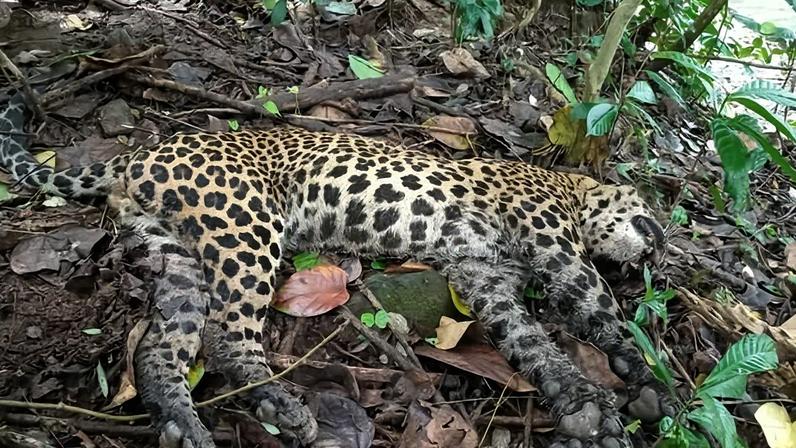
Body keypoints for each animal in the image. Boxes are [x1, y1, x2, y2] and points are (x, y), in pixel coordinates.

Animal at [0, 91, 670, 448]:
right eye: (652, 215)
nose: (663, 250)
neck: (572, 190)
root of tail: (139, 151)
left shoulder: (482, 275)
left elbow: (531, 341)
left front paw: (581, 403)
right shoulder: (552, 241)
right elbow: (600, 306)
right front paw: (649, 381)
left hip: (175, 253)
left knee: (162, 347)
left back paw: (184, 423)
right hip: (244, 226)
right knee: (225, 336)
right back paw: (281, 405)